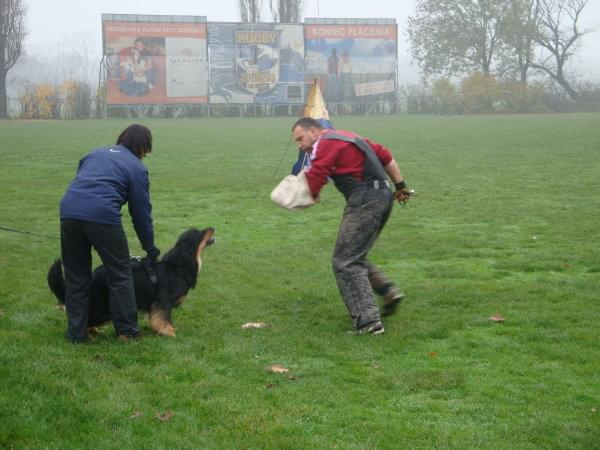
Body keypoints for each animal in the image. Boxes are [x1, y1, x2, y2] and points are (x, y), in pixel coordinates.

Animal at [47, 227, 216, 336]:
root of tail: (92, 276)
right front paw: (169, 332)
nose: (213, 228)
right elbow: (163, 318)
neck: (179, 264)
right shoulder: (163, 301)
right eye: (199, 232)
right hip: (103, 306)